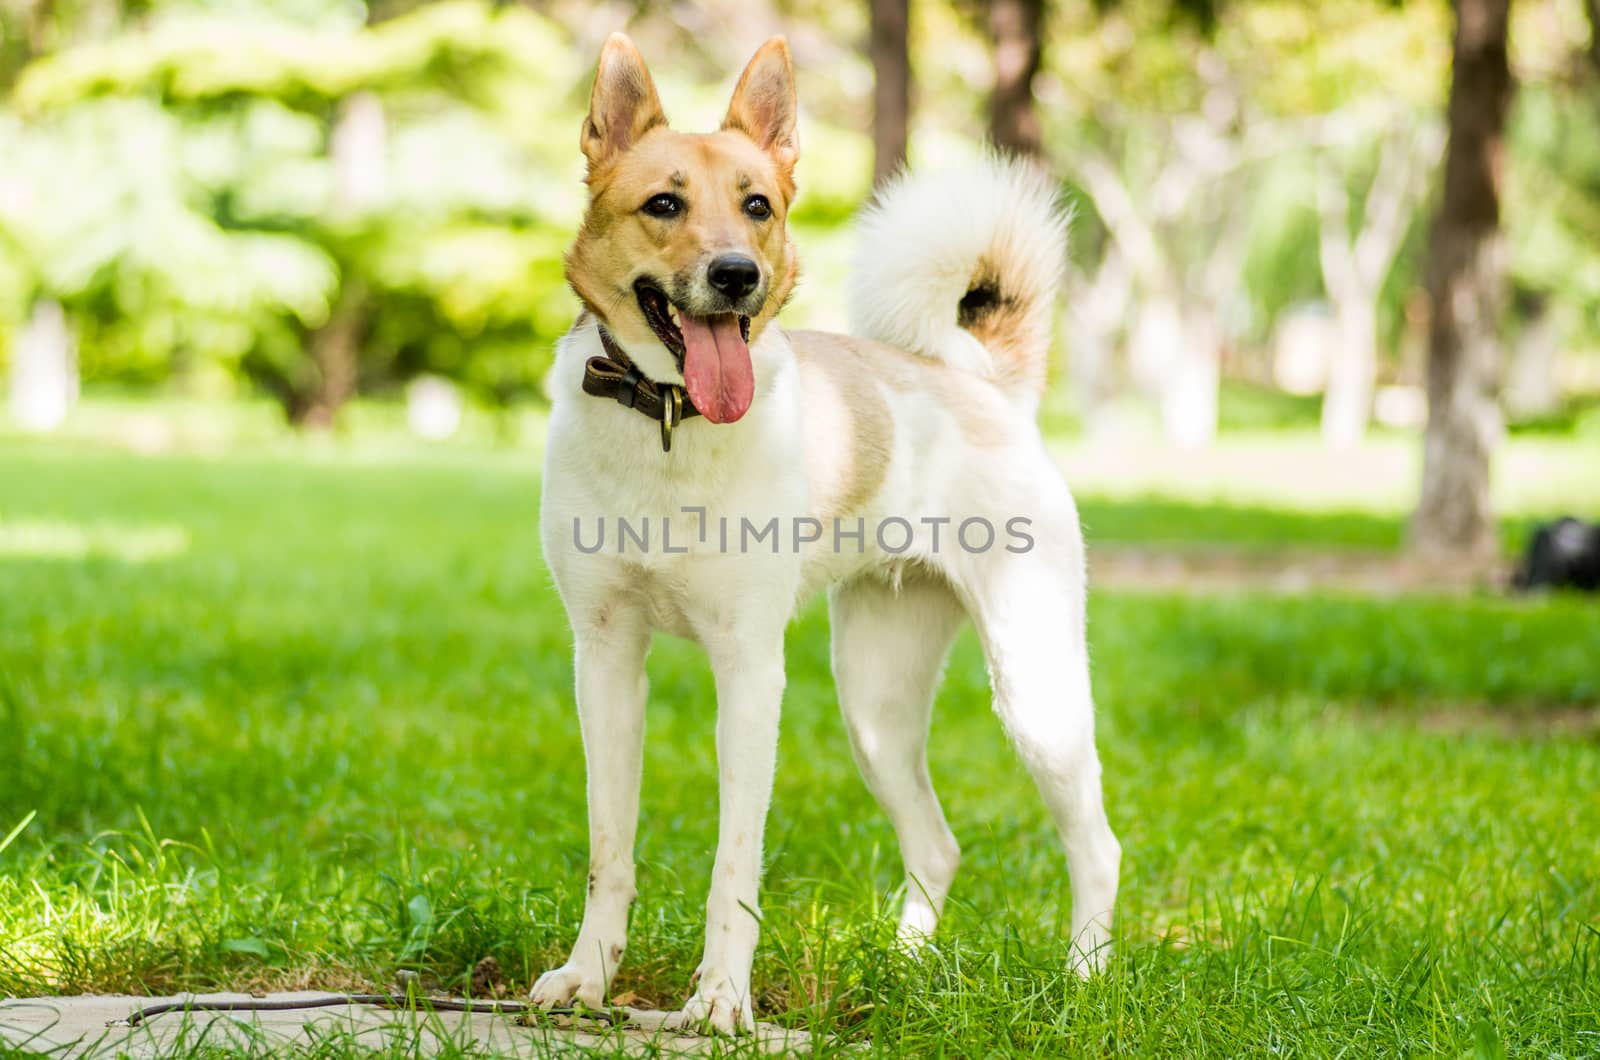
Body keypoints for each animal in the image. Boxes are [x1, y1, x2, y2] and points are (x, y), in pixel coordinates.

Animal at [531, 35, 1120, 1037]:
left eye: (757, 205)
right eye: (664, 204)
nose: (738, 274)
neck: (670, 419)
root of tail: (984, 386)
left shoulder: (750, 671)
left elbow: (734, 866)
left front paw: (720, 1001)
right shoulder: (602, 660)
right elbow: (610, 847)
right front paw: (589, 978)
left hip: (1034, 691)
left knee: (1096, 844)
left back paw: (1083, 980)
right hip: (873, 707)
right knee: (937, 844)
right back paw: (906, 967)